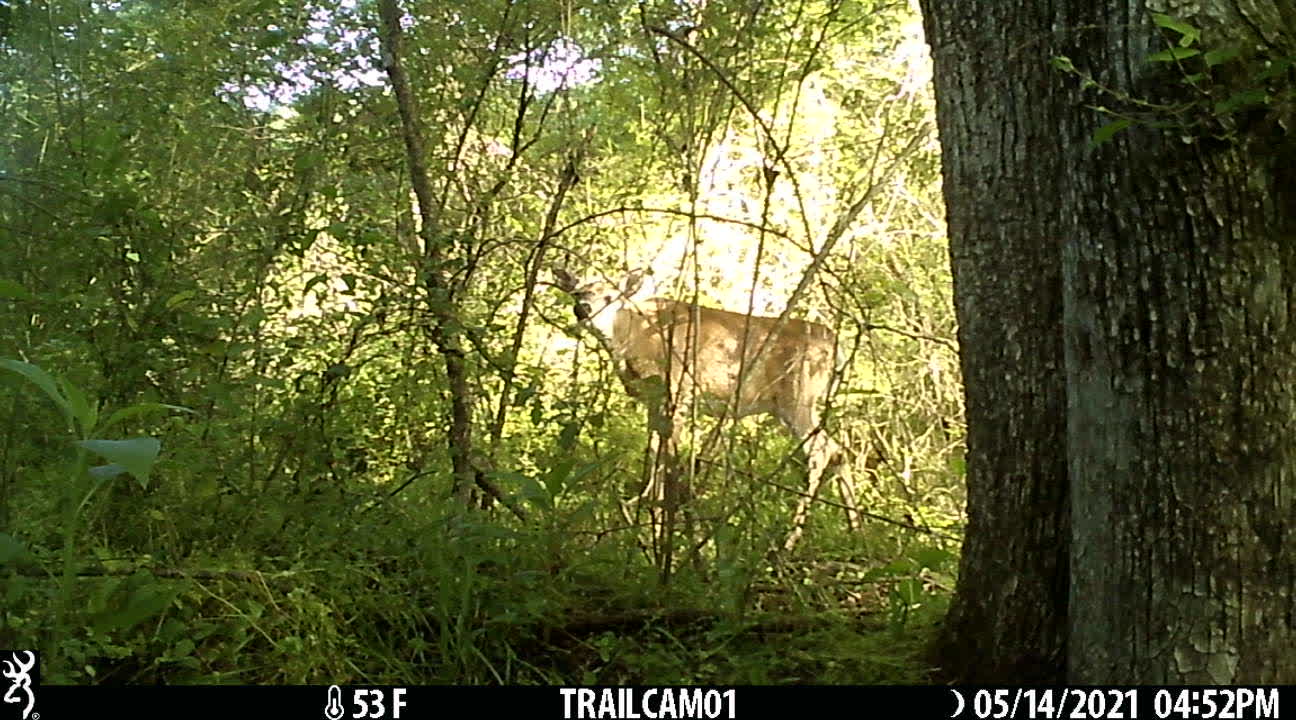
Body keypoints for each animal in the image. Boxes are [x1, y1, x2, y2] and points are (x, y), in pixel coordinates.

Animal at [552, 266, 855, 554]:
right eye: (577, 292)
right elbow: (655, 448)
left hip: (798, 394)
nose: (583, 309)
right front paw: (644, 513)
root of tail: (836, 345)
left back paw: (788, 542)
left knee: (822, 450)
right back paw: (855, 530)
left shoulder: (678, 387)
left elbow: (667, 453)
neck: (634, 335)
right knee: (839, 450)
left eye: (610, 296)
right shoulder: (653, 398)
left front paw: (658, 523)